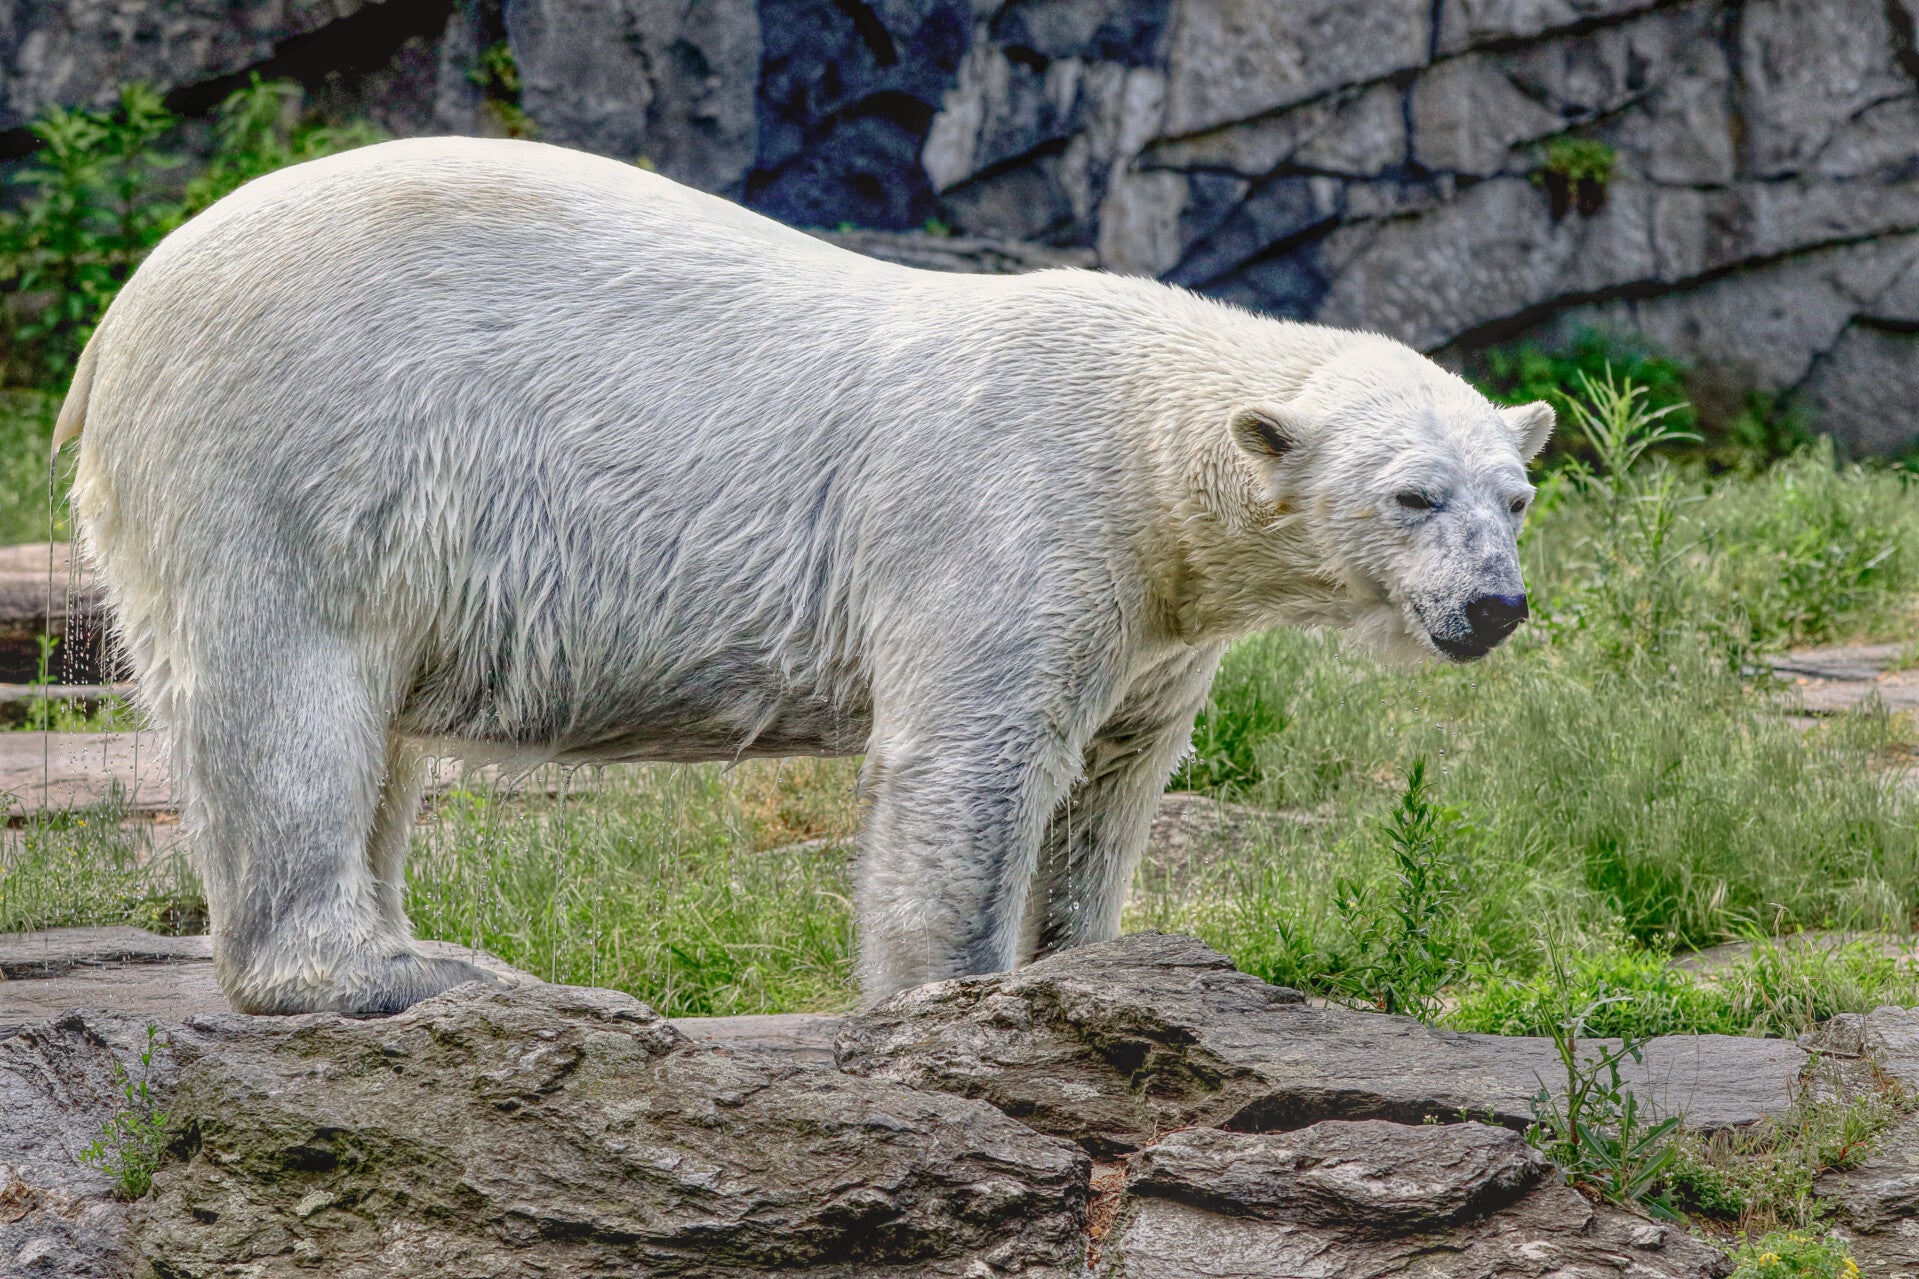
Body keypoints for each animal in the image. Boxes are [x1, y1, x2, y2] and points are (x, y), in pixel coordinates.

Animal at [55, 137, 1552, 1015]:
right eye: (1411, 494)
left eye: (1516, 496)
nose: (1492, 606)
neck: (1142, 427)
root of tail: (120, 314)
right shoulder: (1016, 511)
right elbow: (970, 763)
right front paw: (951, 996)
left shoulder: (1159, 614)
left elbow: (1112, 779)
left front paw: (1083, 957)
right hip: (296, 442)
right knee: (291, 690)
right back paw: (395, 970)